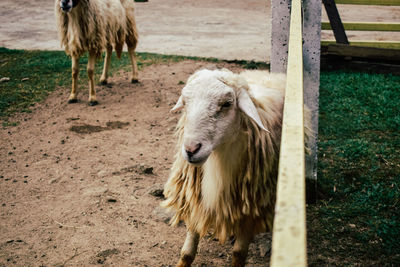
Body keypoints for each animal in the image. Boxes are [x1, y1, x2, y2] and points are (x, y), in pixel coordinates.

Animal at [163, 69, 310, 267]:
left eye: (227, 104)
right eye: (185, 103)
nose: (191, 150)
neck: (218, 155)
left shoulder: (251, 208)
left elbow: (239, 253)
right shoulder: (195, 197)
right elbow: (187, 252)